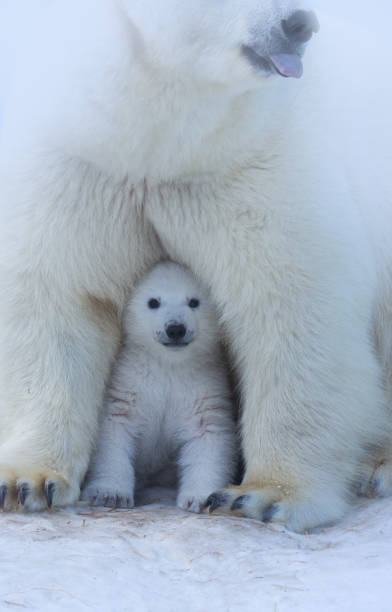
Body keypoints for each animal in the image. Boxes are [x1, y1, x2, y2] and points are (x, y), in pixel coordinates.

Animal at [0, 0, 390, 532]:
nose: (300, 23)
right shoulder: (82, 164)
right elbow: (56, 302)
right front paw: (28, 481)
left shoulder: (253, 168)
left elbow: (293, 313)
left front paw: (264, 495)